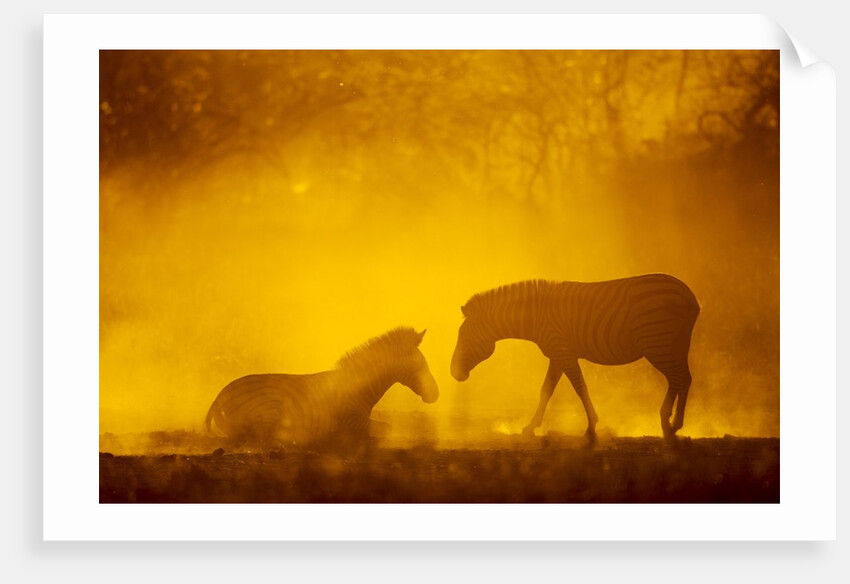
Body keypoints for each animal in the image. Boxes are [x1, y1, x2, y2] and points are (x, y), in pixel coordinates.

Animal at [205, 327, 438, 446]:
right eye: (422, 365)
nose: (436, 394)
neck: (361, 386)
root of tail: (220, 394)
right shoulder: (353, 421)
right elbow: (387, 428)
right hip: (270, 408)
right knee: (260, 436)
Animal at [449, 274, 700, 441]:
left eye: (464, 337)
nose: (453, 373)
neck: (535, 315)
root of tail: (688, 295)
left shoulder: (563, 351)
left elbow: (579, 387)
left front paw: (591, 427)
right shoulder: (557, 355)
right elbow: (546, 390)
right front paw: (531, 427)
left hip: (656, 344)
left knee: (677, 378)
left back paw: (668, 423)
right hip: (676, 344)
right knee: (684, 378)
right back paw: (675, 423)